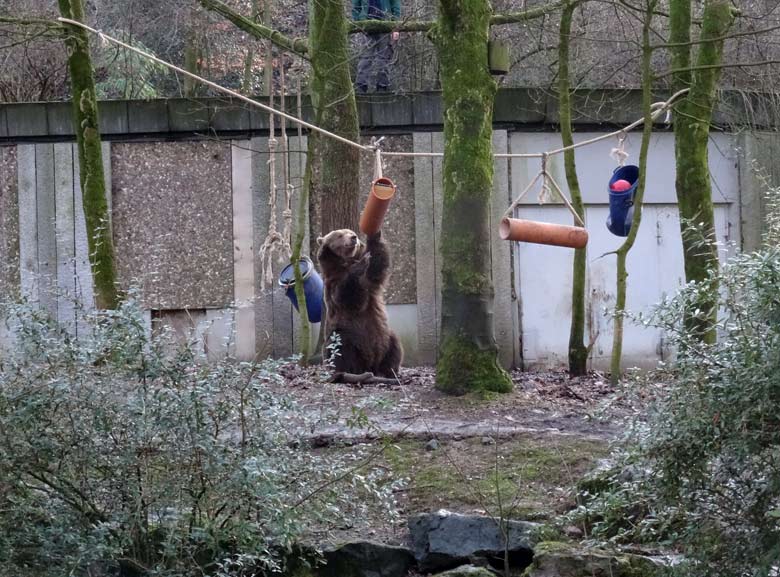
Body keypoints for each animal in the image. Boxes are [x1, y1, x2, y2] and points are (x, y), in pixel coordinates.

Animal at [316, 227, 402, 380]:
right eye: (339, 235)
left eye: (351, 232)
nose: (353, 238)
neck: (346, 261)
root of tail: (370, 364)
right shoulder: (333, 282)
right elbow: (348, 296)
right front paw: (360, 264)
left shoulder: (370, 281)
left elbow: (377, 267)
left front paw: (374, 236)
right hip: (345, 334)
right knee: (339, 348)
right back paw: (344, 374)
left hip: (384, 336)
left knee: (394, 344)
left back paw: (389, 371)